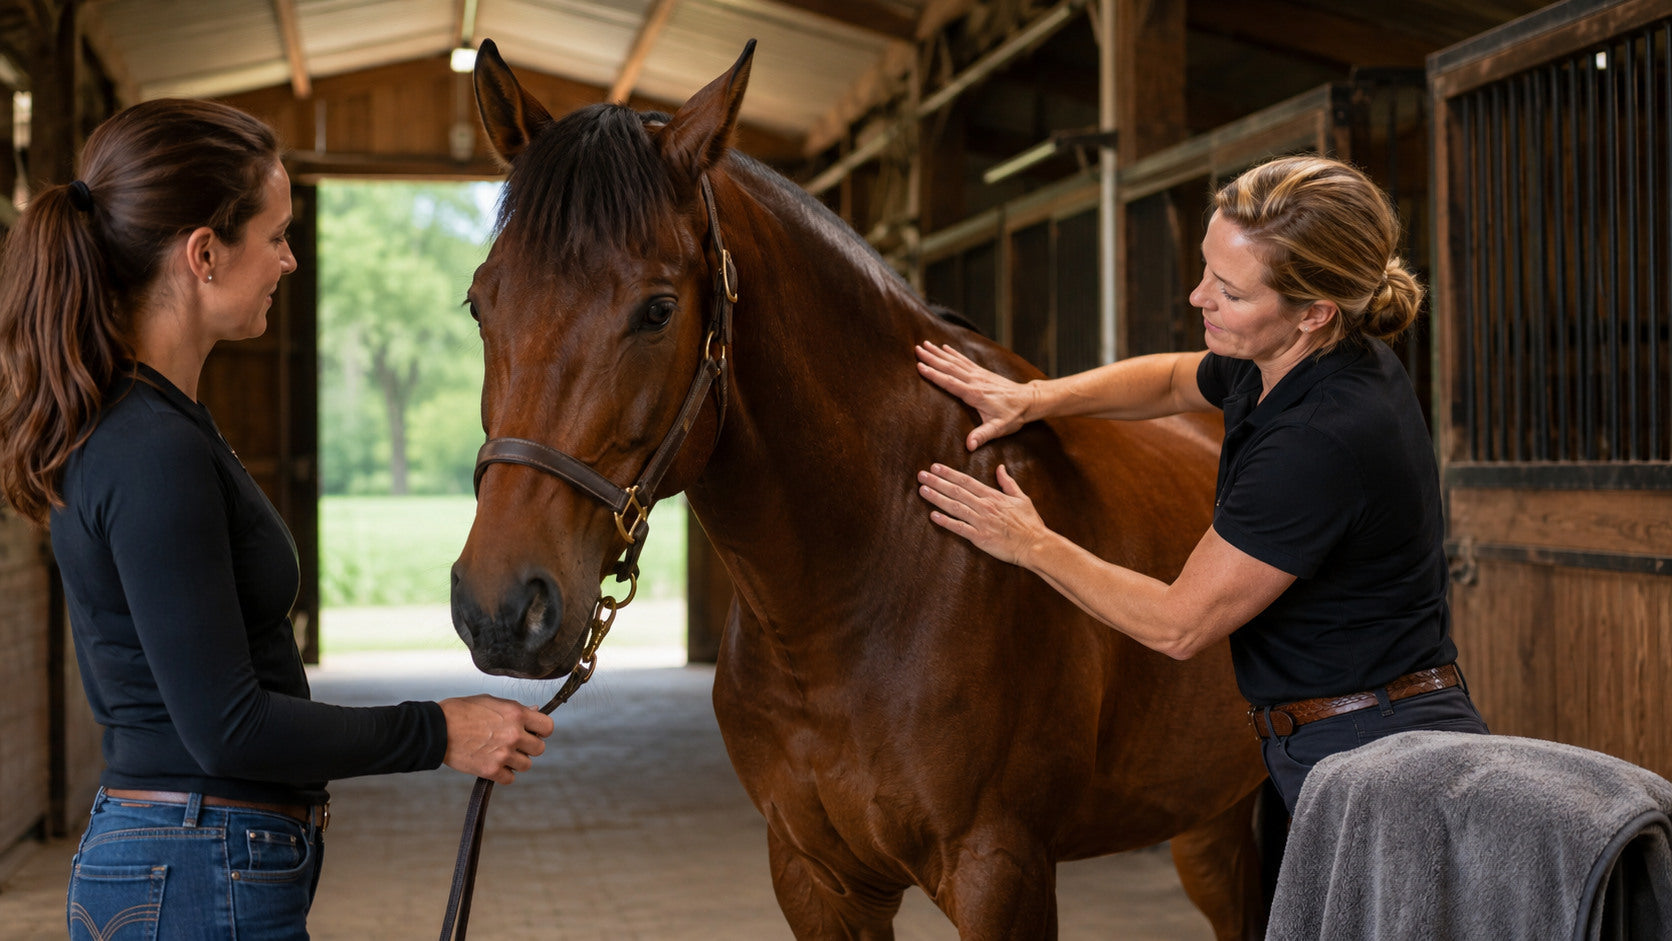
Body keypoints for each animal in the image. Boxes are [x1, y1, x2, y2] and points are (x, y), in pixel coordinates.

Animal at [451, 38, 1268, 940]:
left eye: (658, 309)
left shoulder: (1002, 871)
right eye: (480, 302)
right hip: (1210, 818)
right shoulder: (815, 875)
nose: (501, 608)